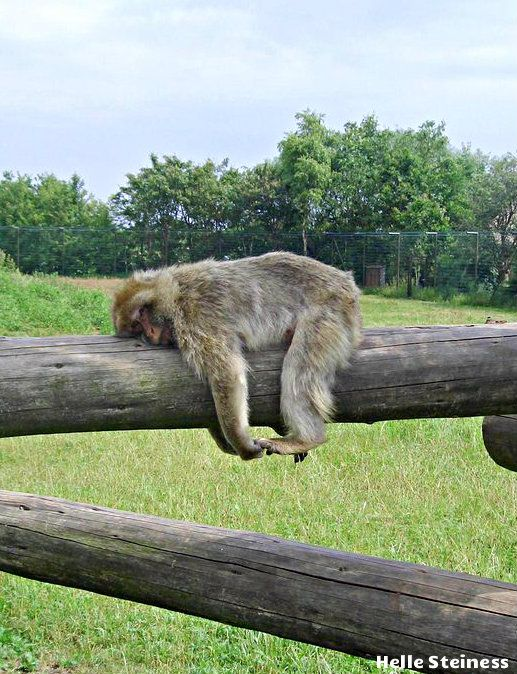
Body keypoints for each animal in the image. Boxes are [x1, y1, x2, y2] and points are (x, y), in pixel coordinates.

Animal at [112, 252, 362, 462]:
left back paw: (306, 439)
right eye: (136, 326)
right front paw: (226, 442)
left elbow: (227, 373)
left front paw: (241, 443)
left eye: (143, 312)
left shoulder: (197, 316)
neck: (177, 291)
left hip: (327, 313)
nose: (151, 333)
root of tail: (346, 284)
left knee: (299, 370)